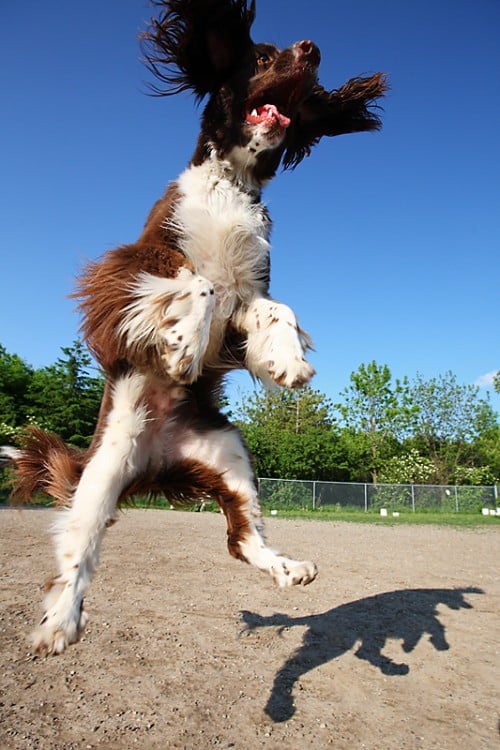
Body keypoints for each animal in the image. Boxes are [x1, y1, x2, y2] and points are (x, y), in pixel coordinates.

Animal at [0, 0, 386, 656]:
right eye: (263, 55)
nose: (313, 48)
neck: (231, 183)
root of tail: (156, 464)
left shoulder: (247, 295)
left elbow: (276, 310)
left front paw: (287, 361)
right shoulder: (136, 262)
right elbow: (196, 285)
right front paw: (181, 349)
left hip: (230, 457)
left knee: (241, 539)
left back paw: (288, 567)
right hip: (102, 473)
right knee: (78, 550)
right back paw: (58, 623)